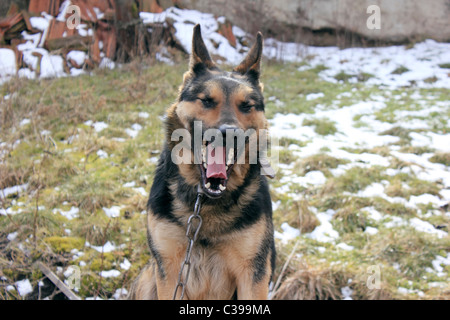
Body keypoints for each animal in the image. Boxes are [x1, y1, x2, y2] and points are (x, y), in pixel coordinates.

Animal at [129, 25, 274, 300]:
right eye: (206, 100)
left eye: (246, 106)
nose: (229, 133)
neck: (205, 204)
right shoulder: (169, 272)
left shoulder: (253, 276)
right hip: (147, 279)